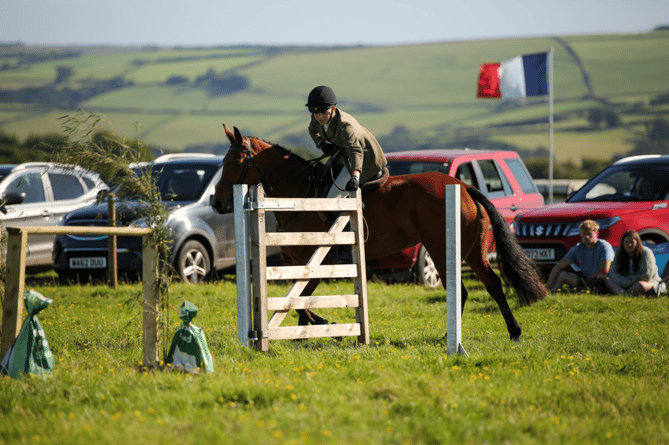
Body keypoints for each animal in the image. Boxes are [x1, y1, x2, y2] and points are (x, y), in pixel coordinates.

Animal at [211, 125, 544, 340]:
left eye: (236, 162)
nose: (217, 202)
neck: (298, 194)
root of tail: (463, 187)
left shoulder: (317, 261)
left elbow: (300, 301)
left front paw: (325, 326)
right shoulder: (297, 262)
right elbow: (297, 302)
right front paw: (323, 326)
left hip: (442, 249)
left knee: (462, 289)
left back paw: (453, 336)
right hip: (472, 251)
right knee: (493, 285)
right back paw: (513, 331)